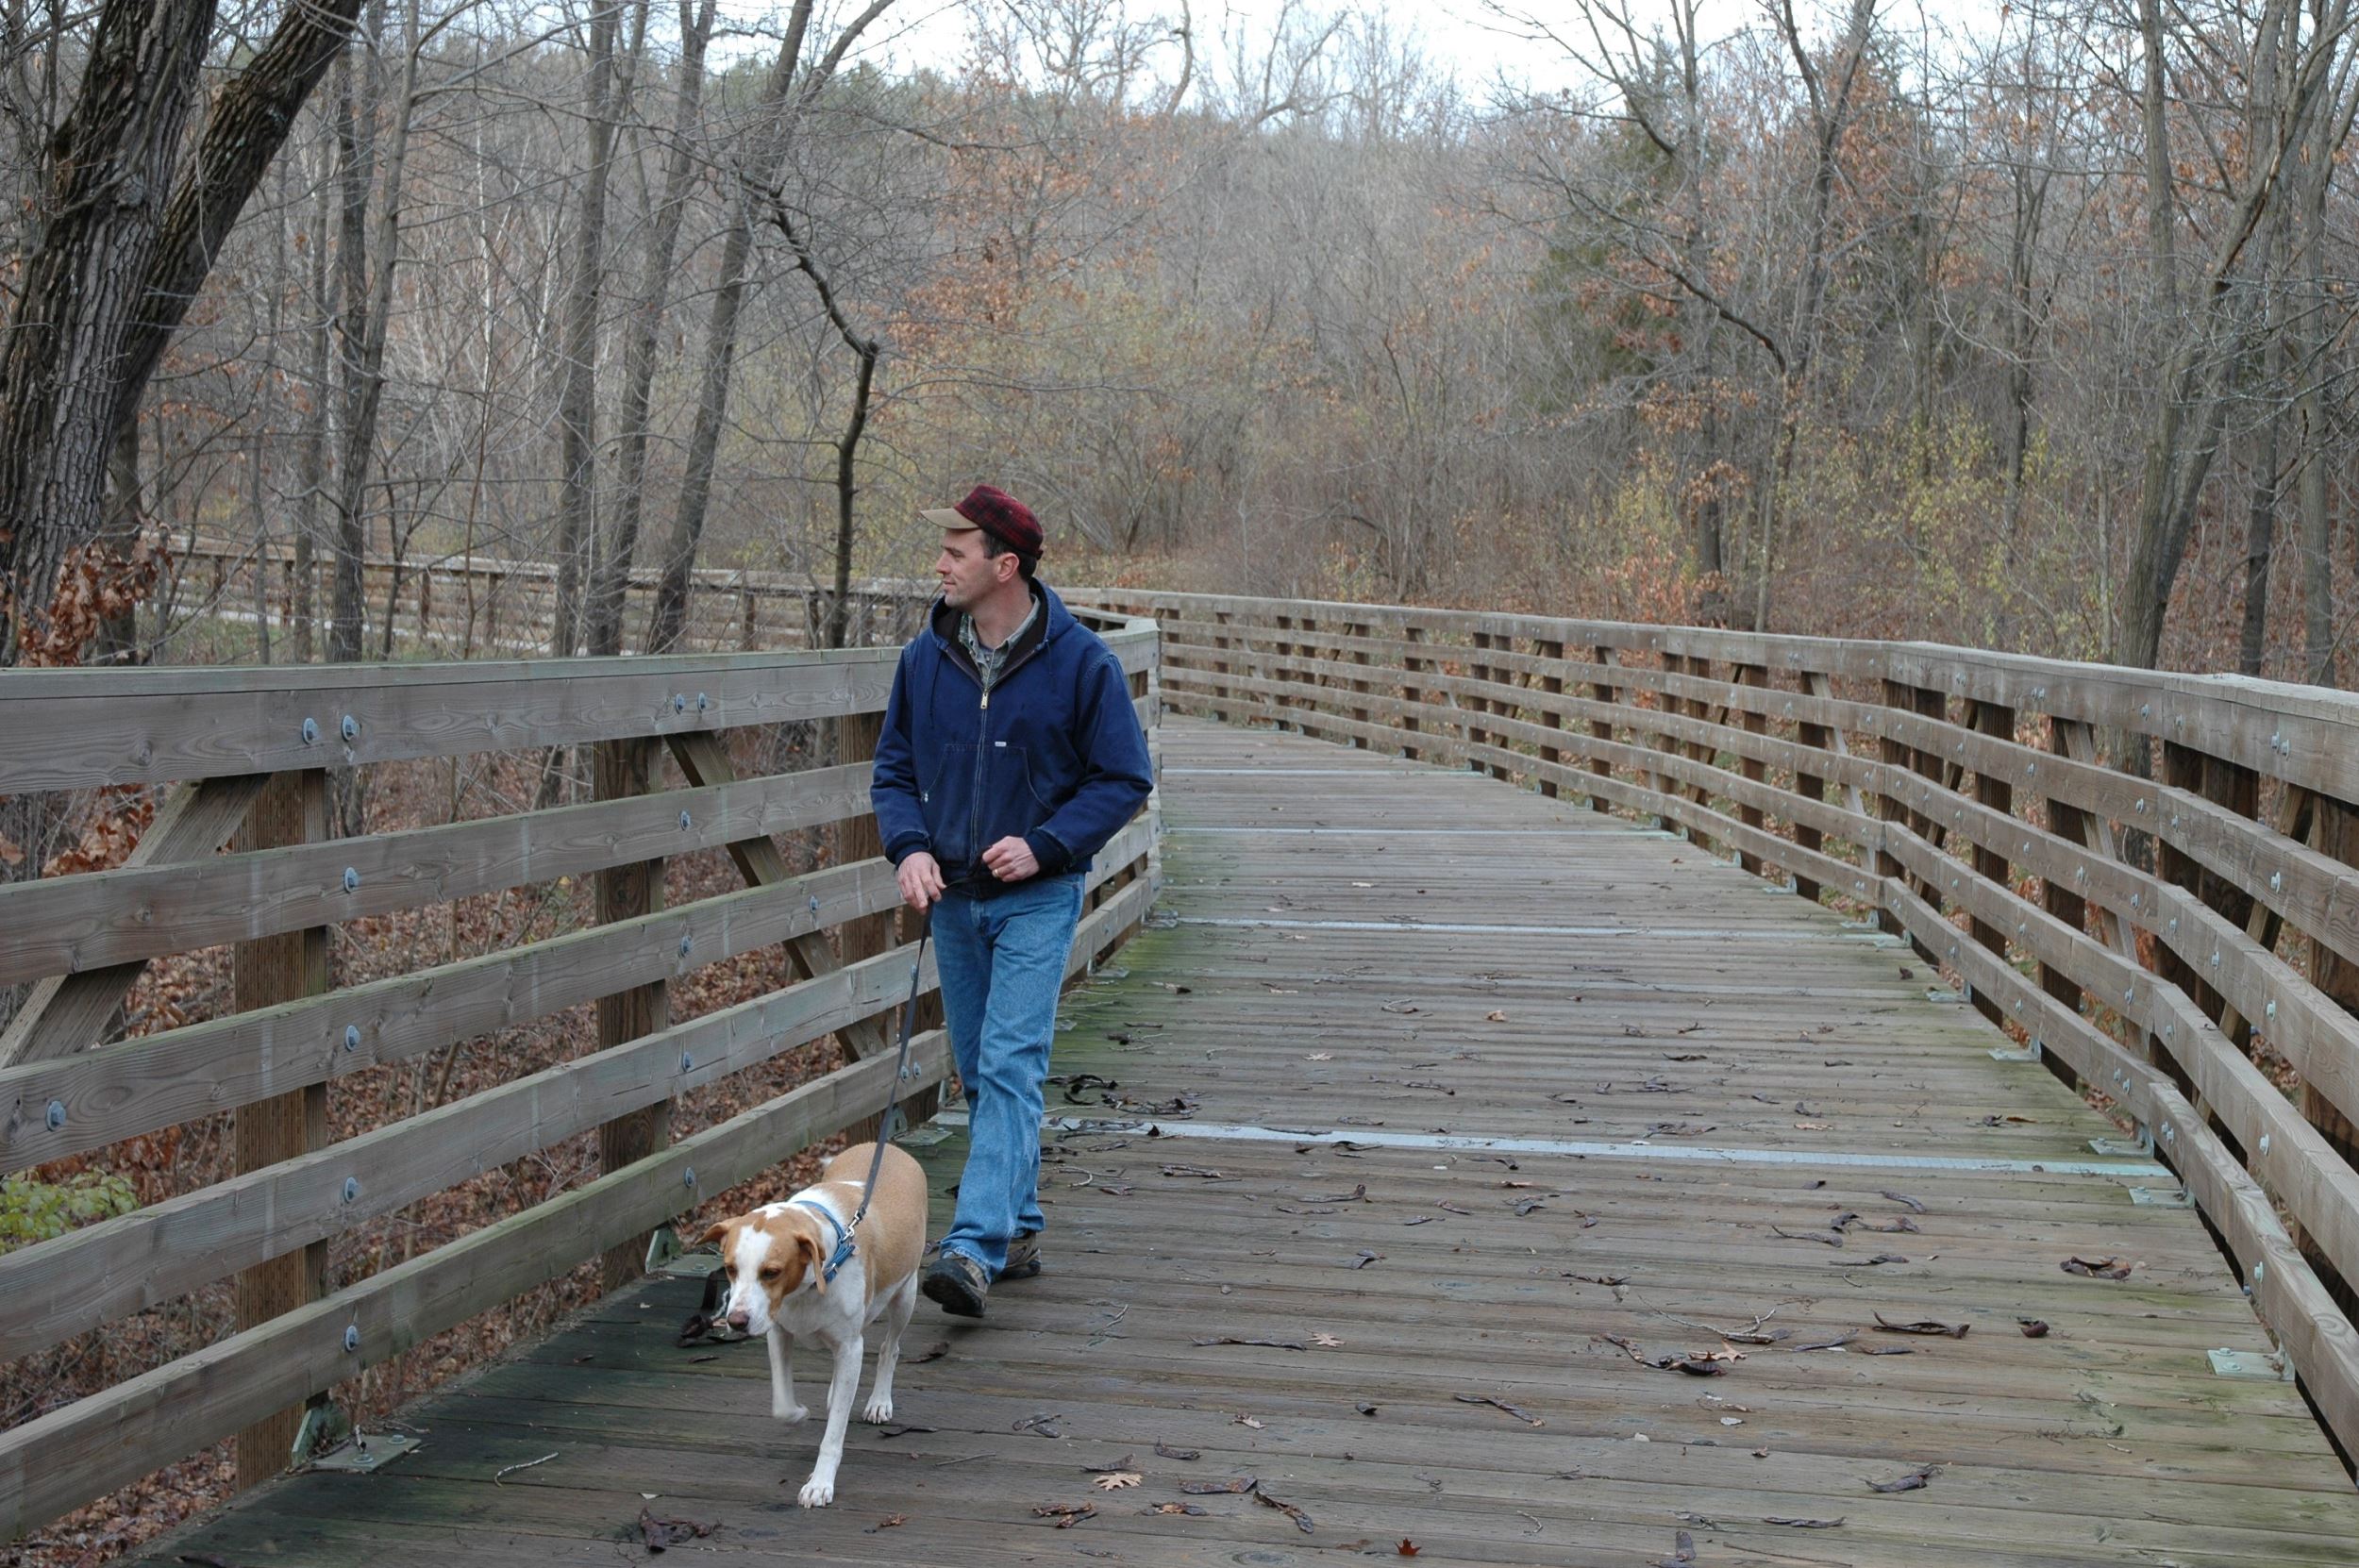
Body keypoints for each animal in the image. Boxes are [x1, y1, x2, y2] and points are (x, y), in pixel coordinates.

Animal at [694, 1136, 925, 1509]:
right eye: (730, 1268)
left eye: (771, 1272)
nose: (737, 1321)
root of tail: (887, 1147)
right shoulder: (778, 1330)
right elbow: (781, 1404)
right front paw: (798, 1413)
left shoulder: (849, 1345)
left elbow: (833, 1435)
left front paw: (820, 1483)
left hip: (905, 1294)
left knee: (890, 1347)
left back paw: (879, 1401)